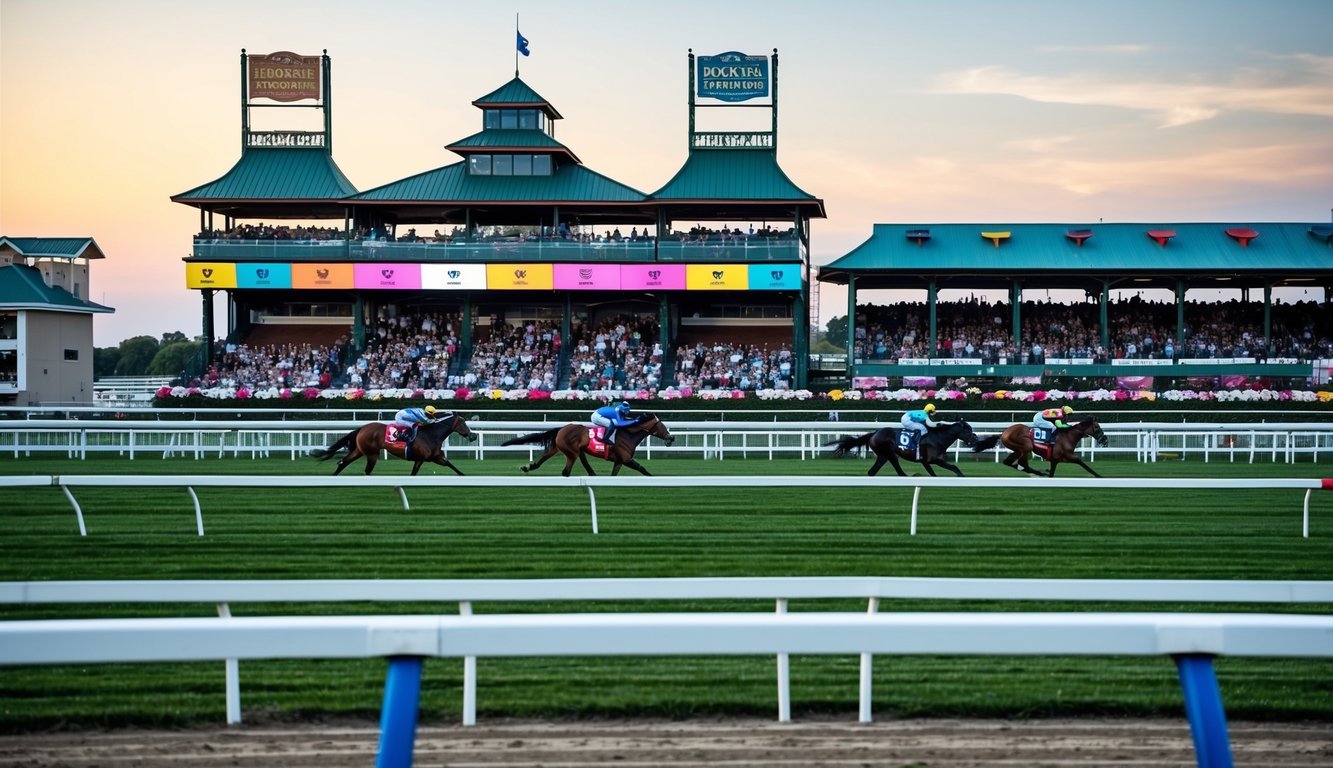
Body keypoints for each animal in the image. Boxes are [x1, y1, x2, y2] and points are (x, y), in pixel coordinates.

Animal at [311, 413, 479, 474]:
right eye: (463, 423)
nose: (473, 436)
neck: (432, 435)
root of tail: (362, 428)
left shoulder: (436, 457)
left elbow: (451, 465)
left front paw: (464, 476)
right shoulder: (420, 458)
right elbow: (414, 473)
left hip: (359, 450)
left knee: (343, 462)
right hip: (372, 453)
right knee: (367, 470)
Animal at [498, 410, 671, 477]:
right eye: (661, 425)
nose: (671, 438)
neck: (628, 435)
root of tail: (562, 428)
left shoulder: (619, 461)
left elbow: (614, 474)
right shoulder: (627, 459)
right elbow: (643, 469)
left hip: (560, 448)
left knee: (545, 458)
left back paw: (528, 467)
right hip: (571, 452)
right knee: (566, 471)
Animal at [821, 421, 981, 474]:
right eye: (967, 430)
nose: (975, 438)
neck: (938, 439)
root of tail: (874, 433)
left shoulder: (925, 462)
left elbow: (933, 474)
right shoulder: (934, 460)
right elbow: (955, 467)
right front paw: (962, 477)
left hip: (882, 456)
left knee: (872, 471)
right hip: (890, 454)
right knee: (899, 471)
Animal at [975, 416, 1109, 477]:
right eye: (1097, 426)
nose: (1105, 440)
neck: (1068, 436)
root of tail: (1003, 433)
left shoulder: (1059, 459)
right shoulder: (1063, 457)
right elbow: (1082, 463)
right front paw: (1099, 476)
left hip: (1017, 449)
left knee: (1010, 462)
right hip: (1026, 446)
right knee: (1023, 464)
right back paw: (1036, 472)